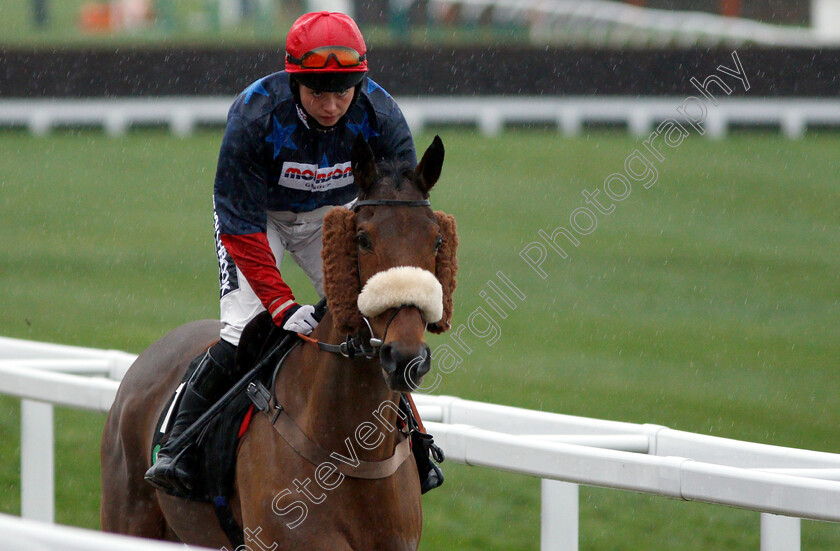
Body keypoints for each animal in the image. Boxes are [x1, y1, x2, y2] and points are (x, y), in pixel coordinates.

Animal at [102, 135, 462, 551]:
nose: (404, 357)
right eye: (363, 238)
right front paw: (293, 315)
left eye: (437, 240)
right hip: (128, 515)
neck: (350, 453)